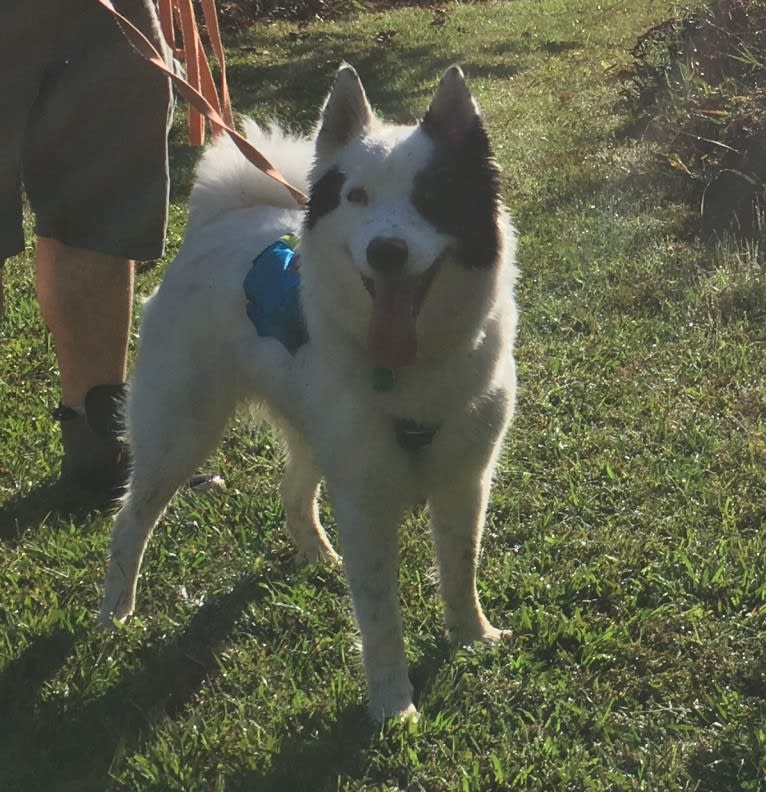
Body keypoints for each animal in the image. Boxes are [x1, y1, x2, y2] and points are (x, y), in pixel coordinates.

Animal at [100, 65, 520, 720]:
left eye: (431, 198)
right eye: (357, 198)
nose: (386, 251)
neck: (410, 367)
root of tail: (223, 221)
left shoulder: (463, 482)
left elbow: (460, 571)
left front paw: (472, 638)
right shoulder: (366, 500)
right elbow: (380, 618)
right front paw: (393, 706)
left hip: (310, 431)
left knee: (293, 492)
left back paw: (319, 555)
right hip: (178, 435)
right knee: (131, 520)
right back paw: (115, 610)